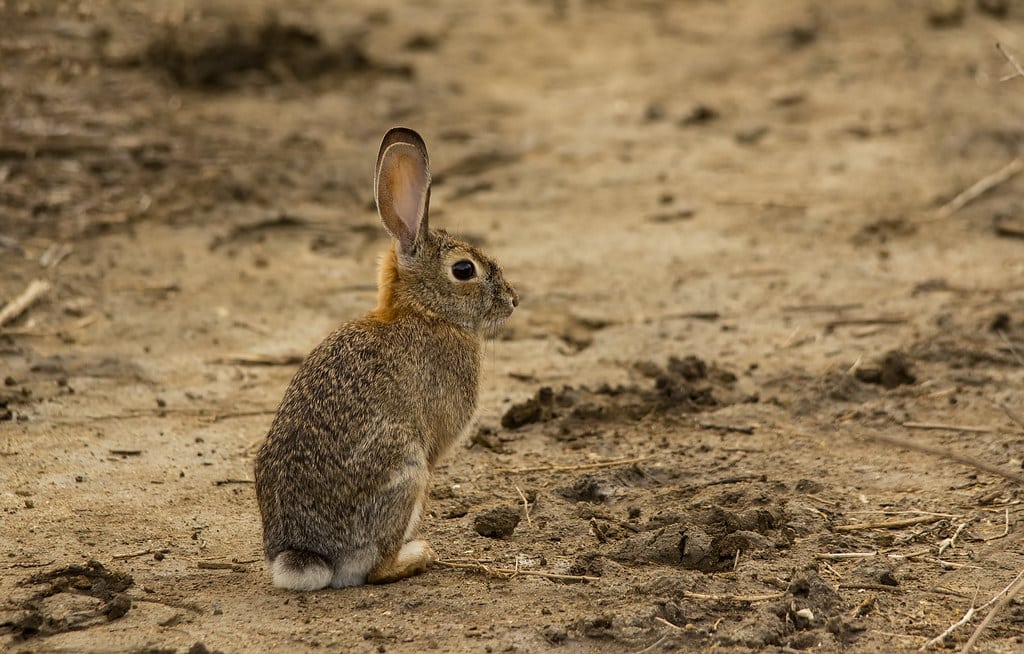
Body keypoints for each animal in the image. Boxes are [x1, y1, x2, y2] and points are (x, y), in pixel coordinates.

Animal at [254, 127, 519, 591]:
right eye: (464, 270)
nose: (512, 300)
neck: (425, 311)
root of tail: (309, 556)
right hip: (407, 472)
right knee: (377, 567)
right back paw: (419, 554)